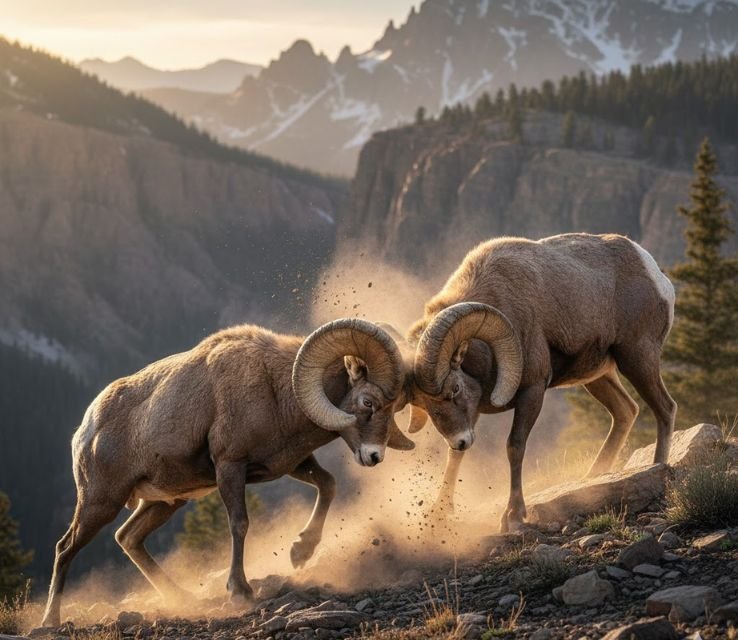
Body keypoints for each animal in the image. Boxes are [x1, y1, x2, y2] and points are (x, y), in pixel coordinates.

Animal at [41, 318, 414, 628]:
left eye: (395, 407)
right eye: (367, 402)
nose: (374, 456)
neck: (275, 390)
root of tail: (86, 430)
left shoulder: (290, 464)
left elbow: (329, 485)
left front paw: (300, 553)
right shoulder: (230, 467)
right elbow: (240, 523)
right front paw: (239, 591)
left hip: (165, 503)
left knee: (127, 538)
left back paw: (181, 598)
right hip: (100, 503)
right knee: (65, 548)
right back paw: (50, 620)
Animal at [406, 233, 676, 532]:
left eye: (454, 388)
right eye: (422, 403)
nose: (460, 441)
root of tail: (655, 275)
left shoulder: (532, 391)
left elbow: (515, 446)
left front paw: (512, 516)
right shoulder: (471, 412)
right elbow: (455, 458)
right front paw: (438, 513)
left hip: (637, 358)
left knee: (665, 408)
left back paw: (657, 468)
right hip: (598, 377)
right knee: (626, 411)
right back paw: (592, 477)